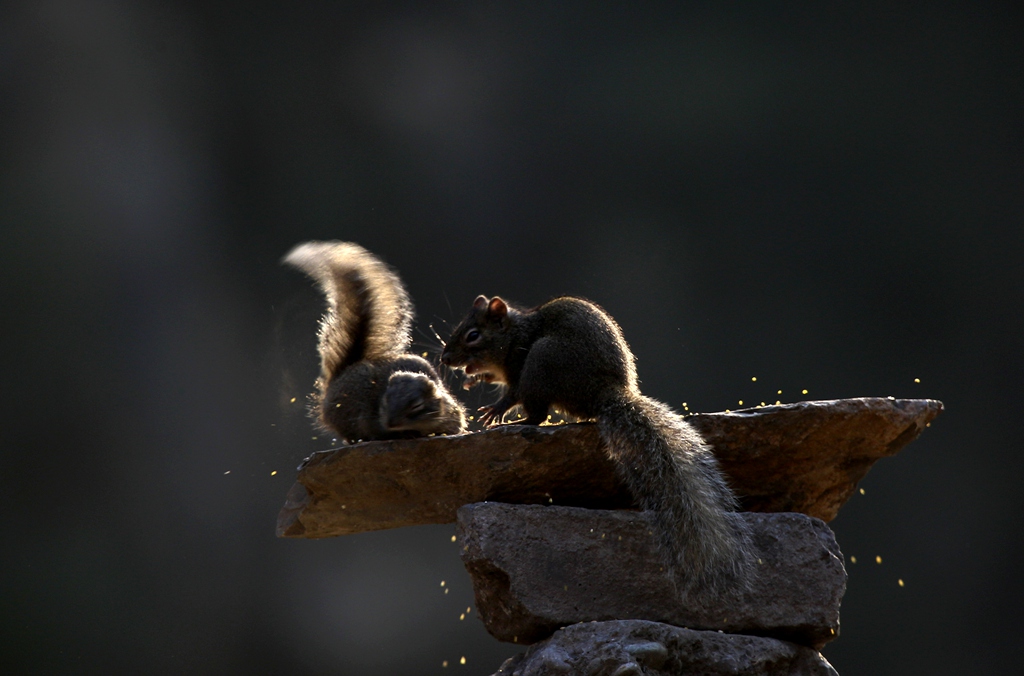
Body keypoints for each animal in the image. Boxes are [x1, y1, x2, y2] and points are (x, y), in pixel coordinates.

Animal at [440, 294, 753, 598]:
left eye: (473, 335)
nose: (444, 359)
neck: (514, 332)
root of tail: (603, 393)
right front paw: (473, 379)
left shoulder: (518, 362)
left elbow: (512, 394)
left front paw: (495, 410)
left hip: (541, 363)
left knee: (537, 415)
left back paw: (519, 422)